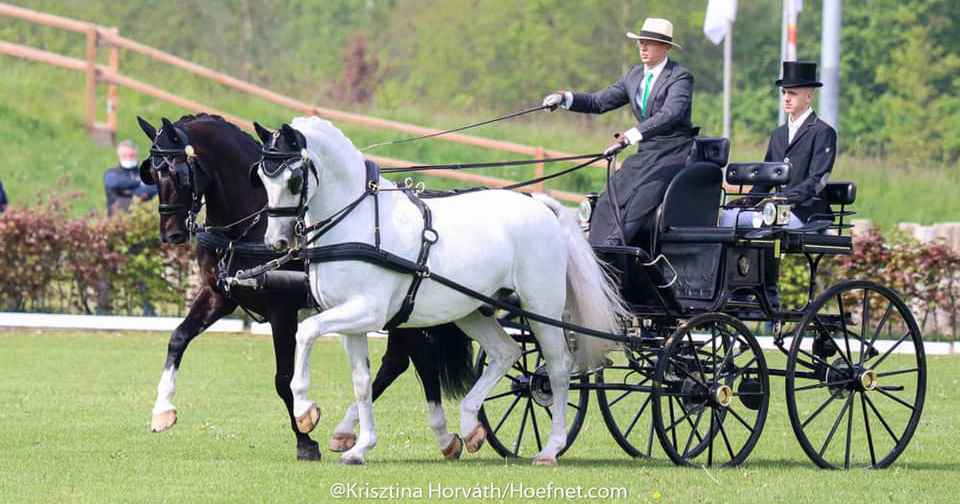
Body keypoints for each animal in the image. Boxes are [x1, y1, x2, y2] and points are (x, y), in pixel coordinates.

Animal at [137, 114, 474, 460]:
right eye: (151, 171)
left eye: (178, 173)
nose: (171, 234)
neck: (248, 225)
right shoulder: (220, 296)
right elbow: (178, 338)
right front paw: (162, 409)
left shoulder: (281, 309)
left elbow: (283, 378)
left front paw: (305, 437)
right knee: (405, 360)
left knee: (417, 360)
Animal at [255, 117, 632, 464]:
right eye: (261, 176)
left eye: (293, 179)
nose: (276, 241)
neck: (358, 222)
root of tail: (541, 205)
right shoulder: (352, 321)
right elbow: (361, 383)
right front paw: (360, 447)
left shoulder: (367, 312)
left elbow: (306, 332)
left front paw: (306, 411)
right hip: (473, 310)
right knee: (505, 352)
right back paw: (469, 427)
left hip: (542, 310)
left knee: (557, 368)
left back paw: (550, 448)